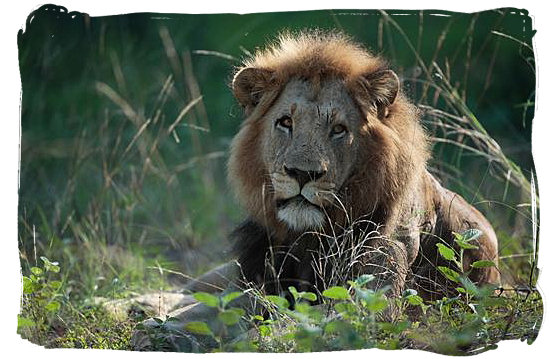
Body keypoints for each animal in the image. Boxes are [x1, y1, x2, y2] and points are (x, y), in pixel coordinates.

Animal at [132, 30, 502, 352]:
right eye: (285, 123)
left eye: (338, 130)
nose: (302, 173)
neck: (308, 237)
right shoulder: (255, 277)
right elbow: (213, 309)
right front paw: (160, 330)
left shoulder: (370, 302)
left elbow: (291, 325)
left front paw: (245, 342)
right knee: (193, 288)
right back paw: (137, 303)